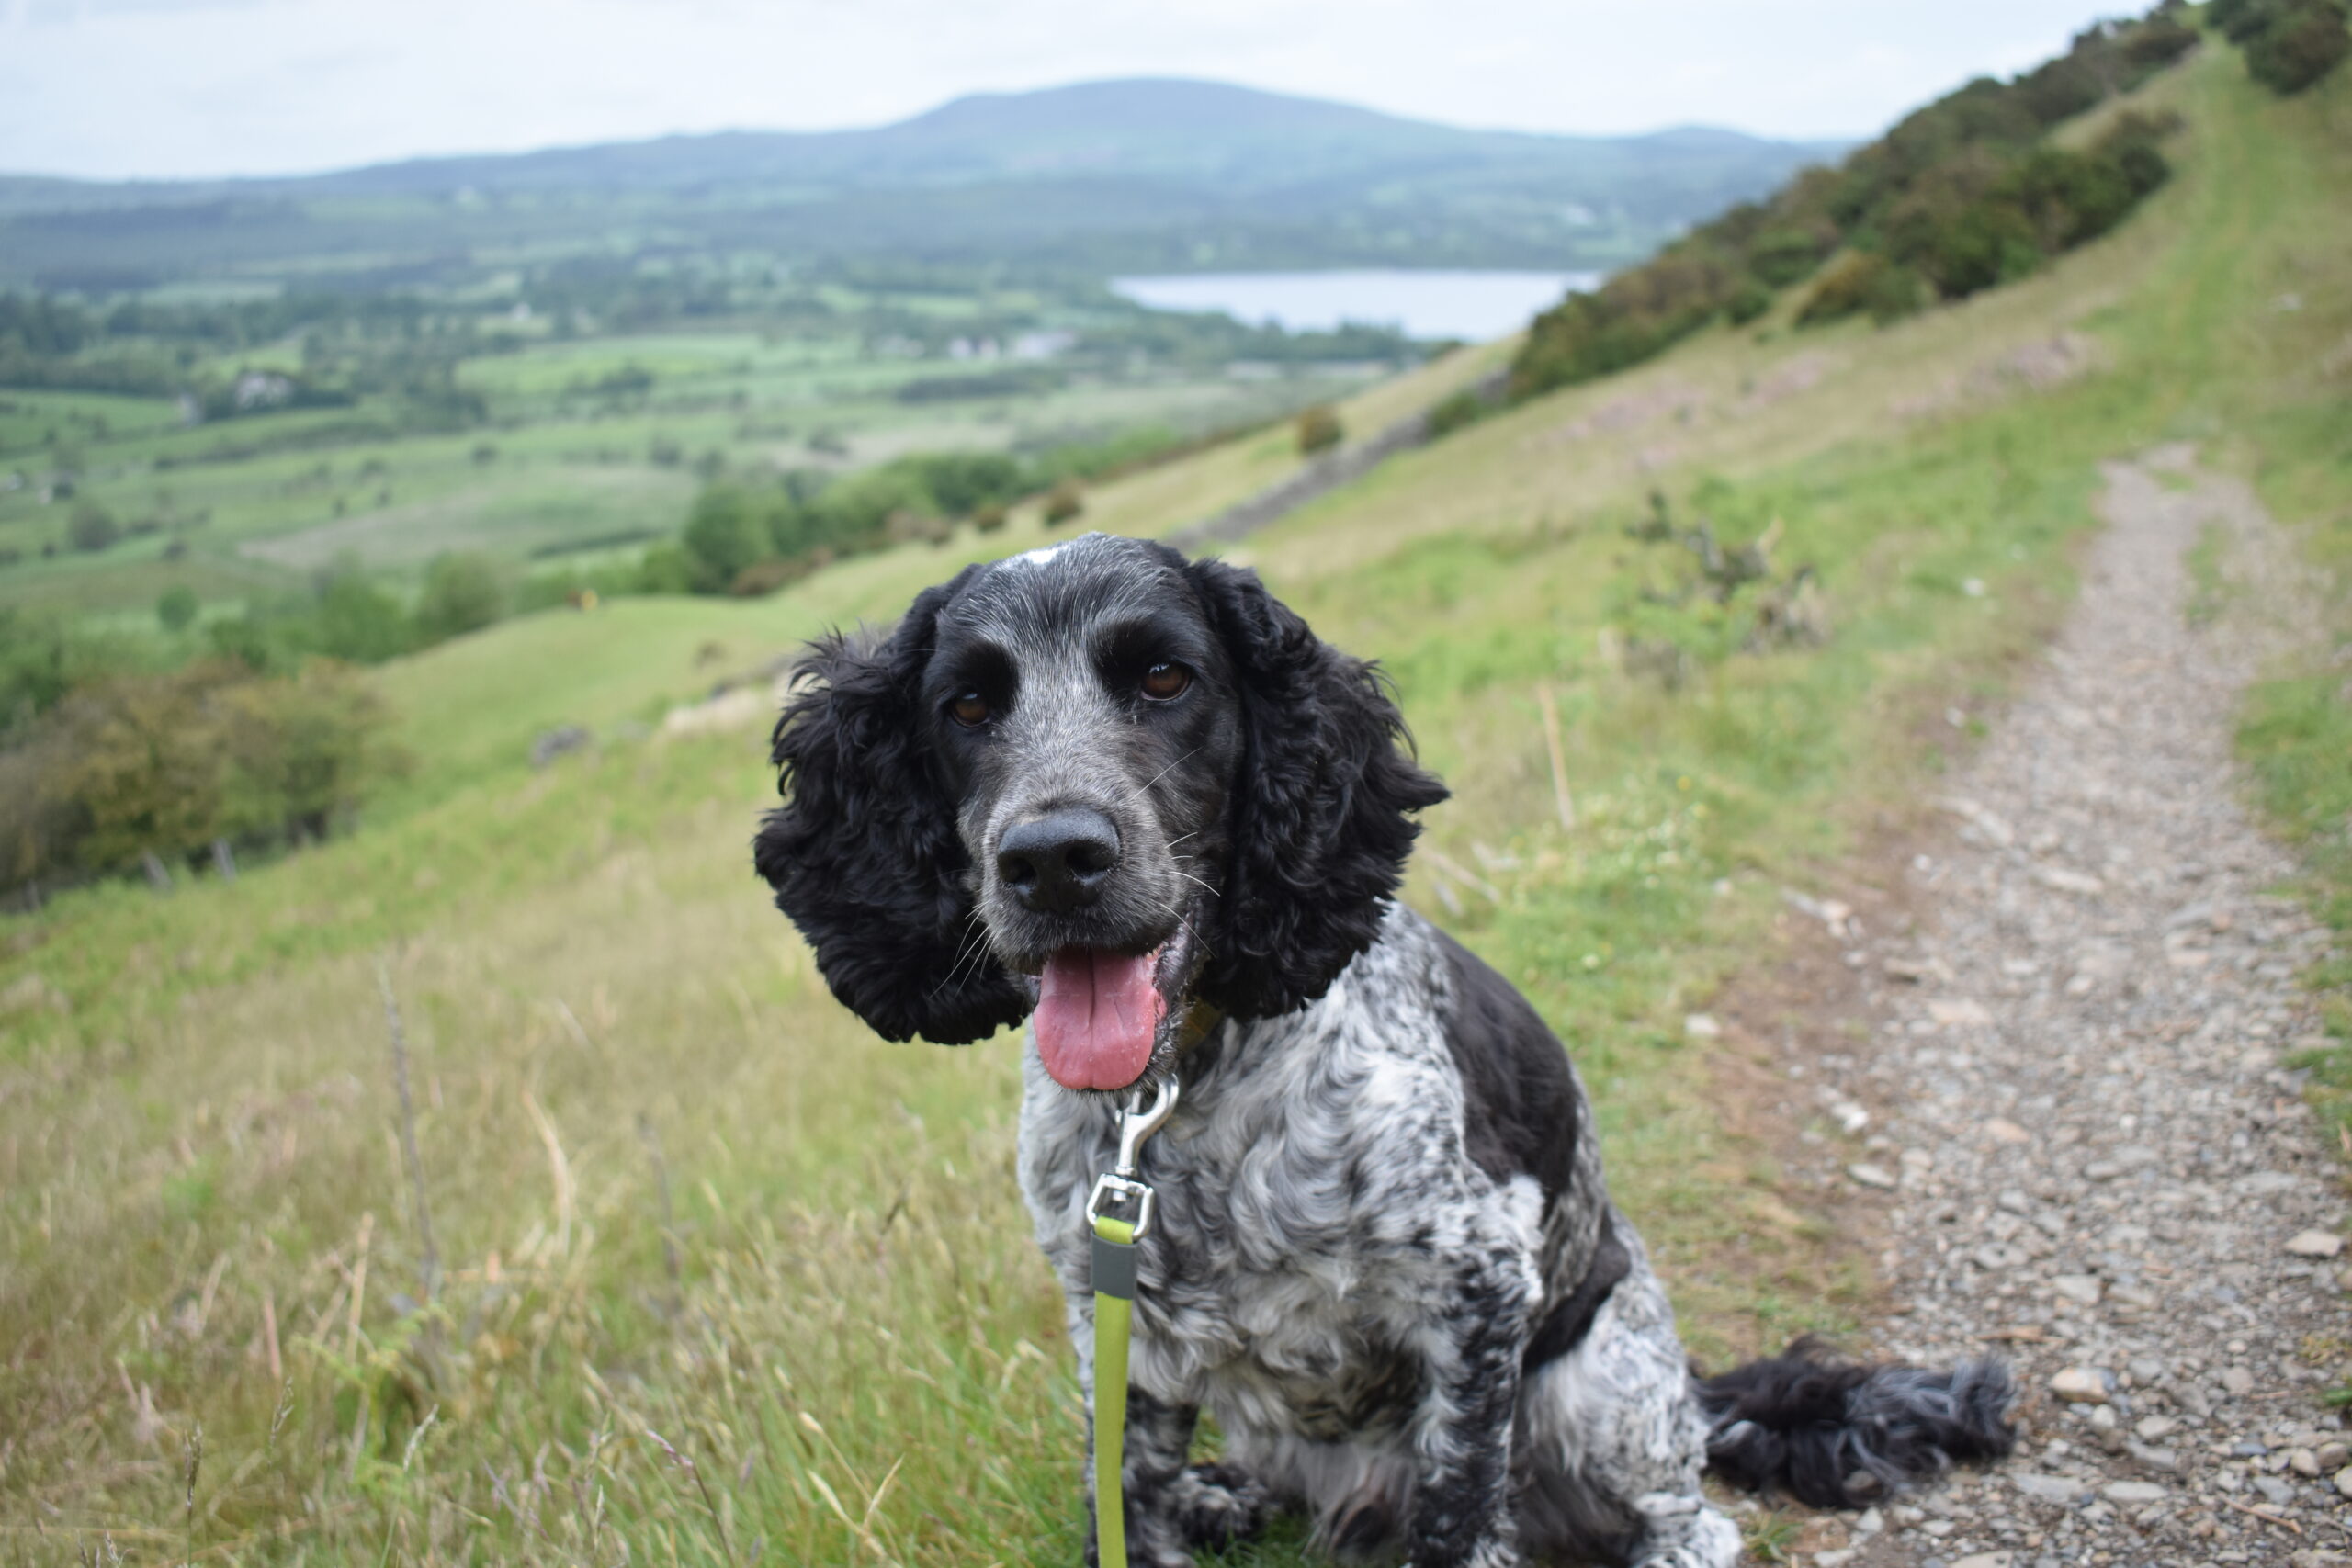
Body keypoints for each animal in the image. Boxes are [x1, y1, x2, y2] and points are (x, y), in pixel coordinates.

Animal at [748, 533, 2004, 1561]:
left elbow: (1455, 1516)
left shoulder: (1477, 1285)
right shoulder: (1121, 1334)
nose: (1053, 858)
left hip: (1603, 1390)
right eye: (965, 707)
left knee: (1686, 1523)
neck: (1183, 1093)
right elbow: (1129, 1507)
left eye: (1164, 677)